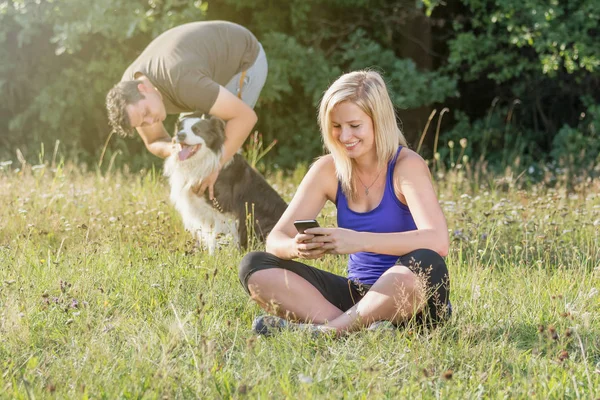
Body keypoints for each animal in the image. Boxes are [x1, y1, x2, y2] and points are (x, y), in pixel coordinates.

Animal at [163, 112, 288, 253]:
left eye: (197, 130)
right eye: (180, 128)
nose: (180, 135)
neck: (201, 161)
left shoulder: (223, 209)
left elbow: (218, 235)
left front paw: (215, 255)